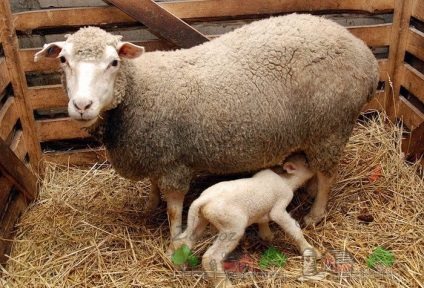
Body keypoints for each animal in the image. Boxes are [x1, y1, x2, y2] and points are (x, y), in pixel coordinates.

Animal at [34, 13, 380, 252]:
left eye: (114, 62)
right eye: (63, 60)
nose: (82, 105)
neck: (138, 89)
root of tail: (364, 51)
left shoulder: (173, 162)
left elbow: (174, 208)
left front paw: (175, 239)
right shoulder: (155, 150)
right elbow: (152, 186)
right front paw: (148, 206)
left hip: (331, 127)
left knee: (328, 175)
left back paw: (315, 213)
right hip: (317, 131)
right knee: (316, 169)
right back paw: (306, 192)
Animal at [173, 155, 318, 288]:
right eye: (306, 162)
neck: (287, 180)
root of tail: (203, 199)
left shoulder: (262, 211)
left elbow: (263, 221)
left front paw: (266, 235)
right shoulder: (279, 208)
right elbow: (293, 229)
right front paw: (310, 250)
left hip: (200, 218)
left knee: (184, 240)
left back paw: (180, 264)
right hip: (232, 227)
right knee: (210, 257)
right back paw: (224, 283)